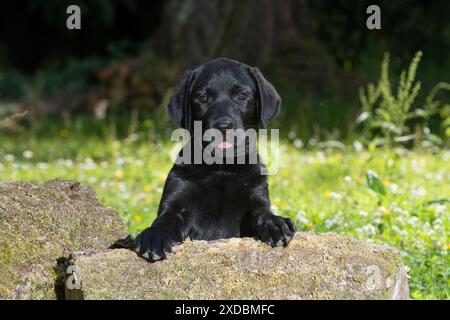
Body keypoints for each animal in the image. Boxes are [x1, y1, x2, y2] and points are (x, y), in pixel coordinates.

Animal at [134, 58, 296, 262]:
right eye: (203, 98)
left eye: (242, 95)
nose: (223, 125)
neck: (221, 168)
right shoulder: (177, 201)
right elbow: (165, 219)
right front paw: (154, 237)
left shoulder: (255, 198)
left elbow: (260, 212)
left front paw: (274, 223)